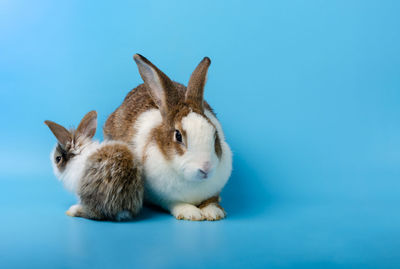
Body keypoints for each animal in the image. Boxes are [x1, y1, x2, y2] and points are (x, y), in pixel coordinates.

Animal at [103, 54, 233, 220]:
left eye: (215, 134)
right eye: (178, 136)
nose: (206, 168)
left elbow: (211, 200)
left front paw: (213, 211)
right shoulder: (162, 198)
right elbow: (175, 203)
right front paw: (191, 213)